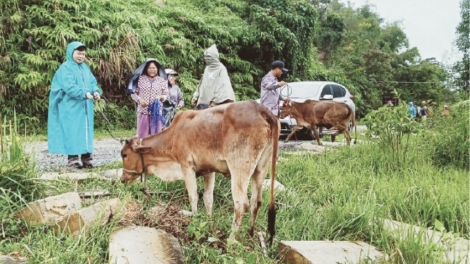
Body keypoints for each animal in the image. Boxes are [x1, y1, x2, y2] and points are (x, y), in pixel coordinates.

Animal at [119, 100, 280, 243]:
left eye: (124, 154)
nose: (122, 179)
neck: (172, 136)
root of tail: (259, 108)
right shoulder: (209, 170)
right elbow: (208, 198)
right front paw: (209, 221)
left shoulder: (186, 166)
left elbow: (193, 196)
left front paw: (194, 219)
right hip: (260, 169)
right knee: (256, 201)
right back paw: (250, 234)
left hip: (239, 169)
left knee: (241, 205)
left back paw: (230, 240)